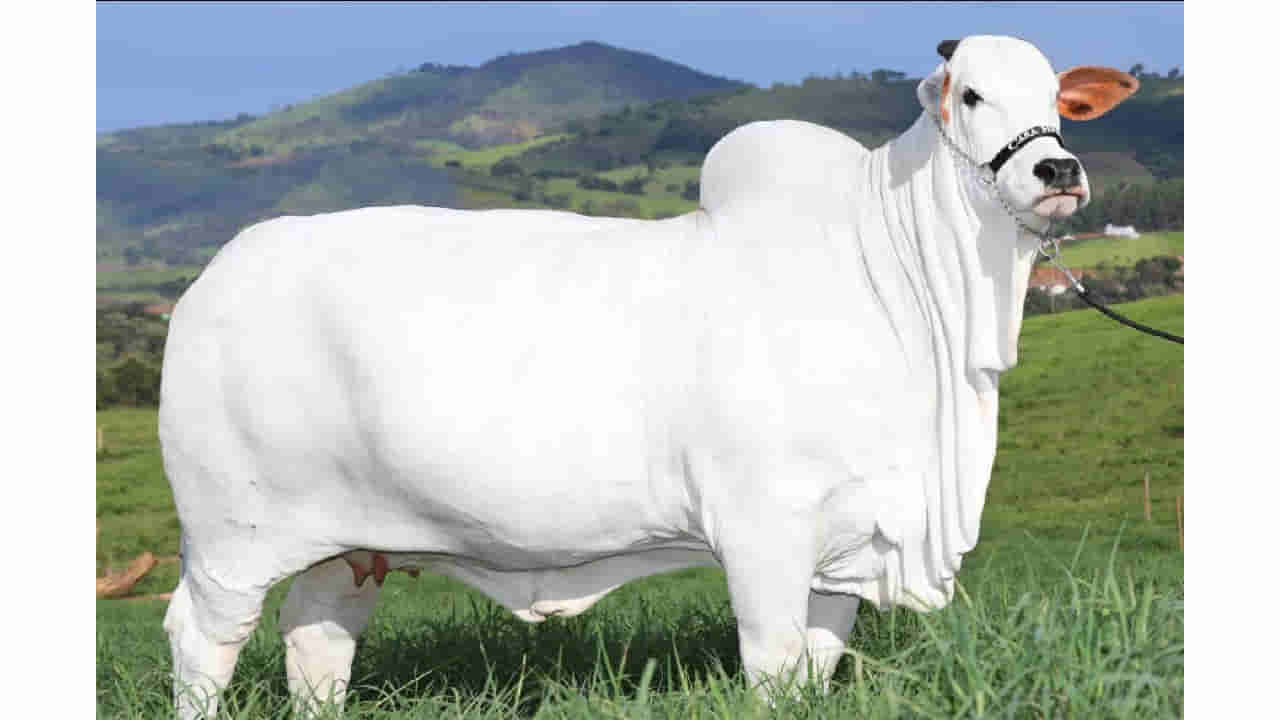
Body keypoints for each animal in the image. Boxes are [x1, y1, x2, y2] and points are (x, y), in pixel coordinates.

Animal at [159, 35, 1138, 717]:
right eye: (971, 93)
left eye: (1059, 101)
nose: (1058, 168)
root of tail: (212, 279)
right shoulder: (763, 528)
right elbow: (774, 666)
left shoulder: (847, 543)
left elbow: (816, 668)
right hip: (232, 537)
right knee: (201, 640)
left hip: (348, 546)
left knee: (317, 641)